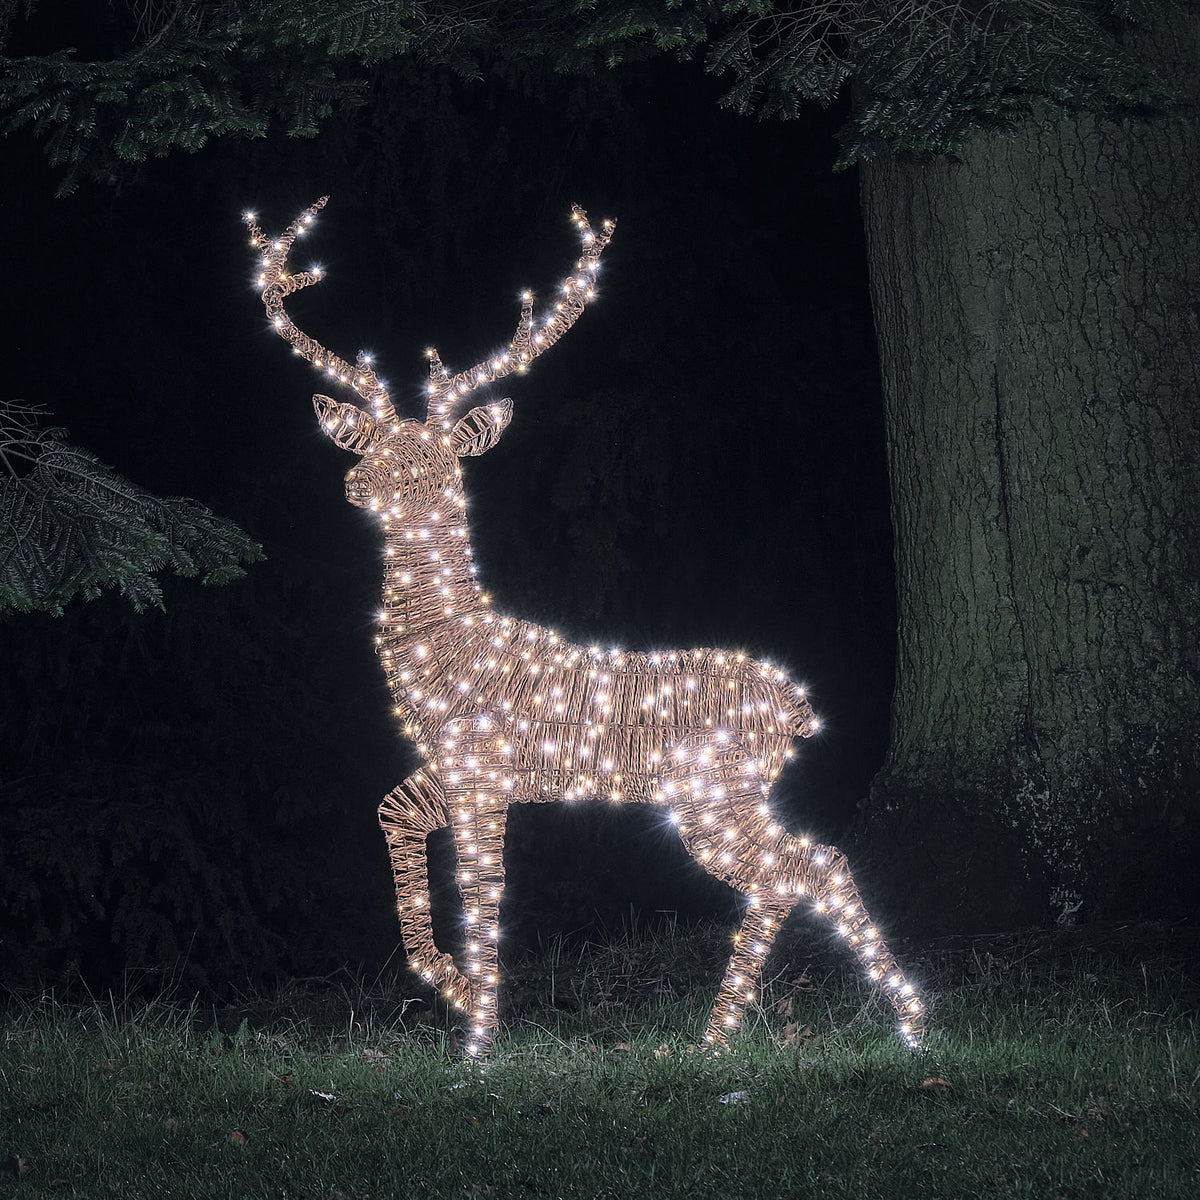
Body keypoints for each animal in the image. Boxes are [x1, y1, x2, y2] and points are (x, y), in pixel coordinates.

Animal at [245, 197, 927, 1056]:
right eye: (377, 442)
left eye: (434, 458)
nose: (359, 482)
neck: (448, 644)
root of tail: (796, 707)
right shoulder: (451, 769)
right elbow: (390, 816)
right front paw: (456, 989)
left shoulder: (482, 767)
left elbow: (485, 891)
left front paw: (480, 1042)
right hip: (724, 795)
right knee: (803, 867)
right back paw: (751, 1033)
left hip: (714, 792)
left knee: (806, 866)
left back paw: (877, 1023)